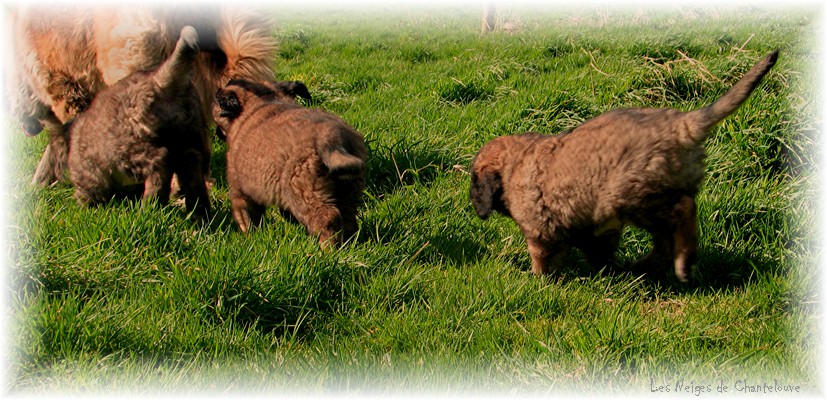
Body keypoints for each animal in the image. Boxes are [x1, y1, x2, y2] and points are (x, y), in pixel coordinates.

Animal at [67, 26, 210, 220]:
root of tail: (159, 81)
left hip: (130, 149)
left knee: (160, 164)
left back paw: (149, 208)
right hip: (190, 135)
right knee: (192, 165)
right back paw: (200, 212)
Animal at [215, 78, 368, 247]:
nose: (217, 91)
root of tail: (333, 138)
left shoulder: (240, 192)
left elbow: (247, 218)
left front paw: (250, 237)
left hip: (303, 190)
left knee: (327, 217)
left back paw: (327, 248)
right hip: (349, 189)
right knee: (349, 219)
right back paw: (350, 244)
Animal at [468, 50, 780, 282]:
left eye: (473, 181)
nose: (472, 201)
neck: (513, 166)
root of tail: (683, 125)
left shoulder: (540, 230)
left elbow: (543, 258)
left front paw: (539, 281)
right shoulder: (595, 229)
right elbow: (598, 252)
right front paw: (611, 273)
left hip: (634, 195)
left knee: (683, 211)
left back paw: (682, 263)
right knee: (666, 240)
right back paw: (645, 268)